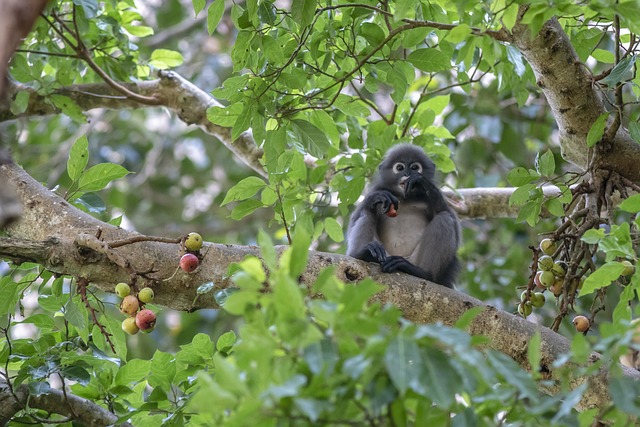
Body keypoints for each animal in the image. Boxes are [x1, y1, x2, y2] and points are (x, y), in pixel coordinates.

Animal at [344, 143, 460, 288]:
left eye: (415, 167)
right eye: (400, 168)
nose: (407, 174)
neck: (405, 198)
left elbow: (454, 223)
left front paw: (422, 182)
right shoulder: (377, 190)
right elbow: (354, 219)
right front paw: (376, 198)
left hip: (414, 259)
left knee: (444, 217)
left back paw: (421, 272)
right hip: (384, 256)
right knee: (367, 213)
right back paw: (364, 254)